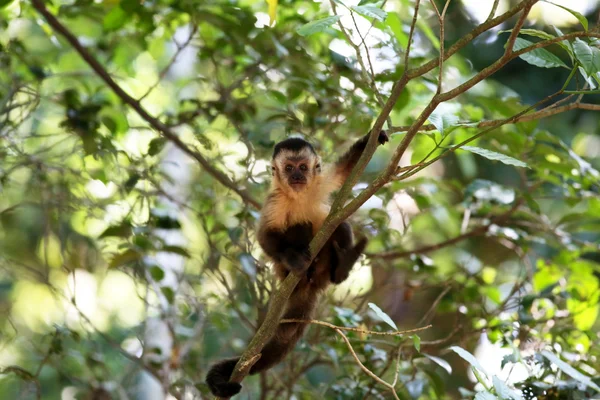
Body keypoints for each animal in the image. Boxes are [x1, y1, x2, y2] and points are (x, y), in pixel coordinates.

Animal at [206, 129, 390, 396]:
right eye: (289, 167)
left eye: (303, 167)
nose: (296, 176)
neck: (296, 196)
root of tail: (312, 284)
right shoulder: (274, 201)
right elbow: (265, 237)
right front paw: (293, 257)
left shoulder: (319, 183)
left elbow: (345, 172)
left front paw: (374, 137)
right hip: (285, 272)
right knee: (298, 225)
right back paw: (303, 265)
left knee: (338, 225)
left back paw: (341, 268)